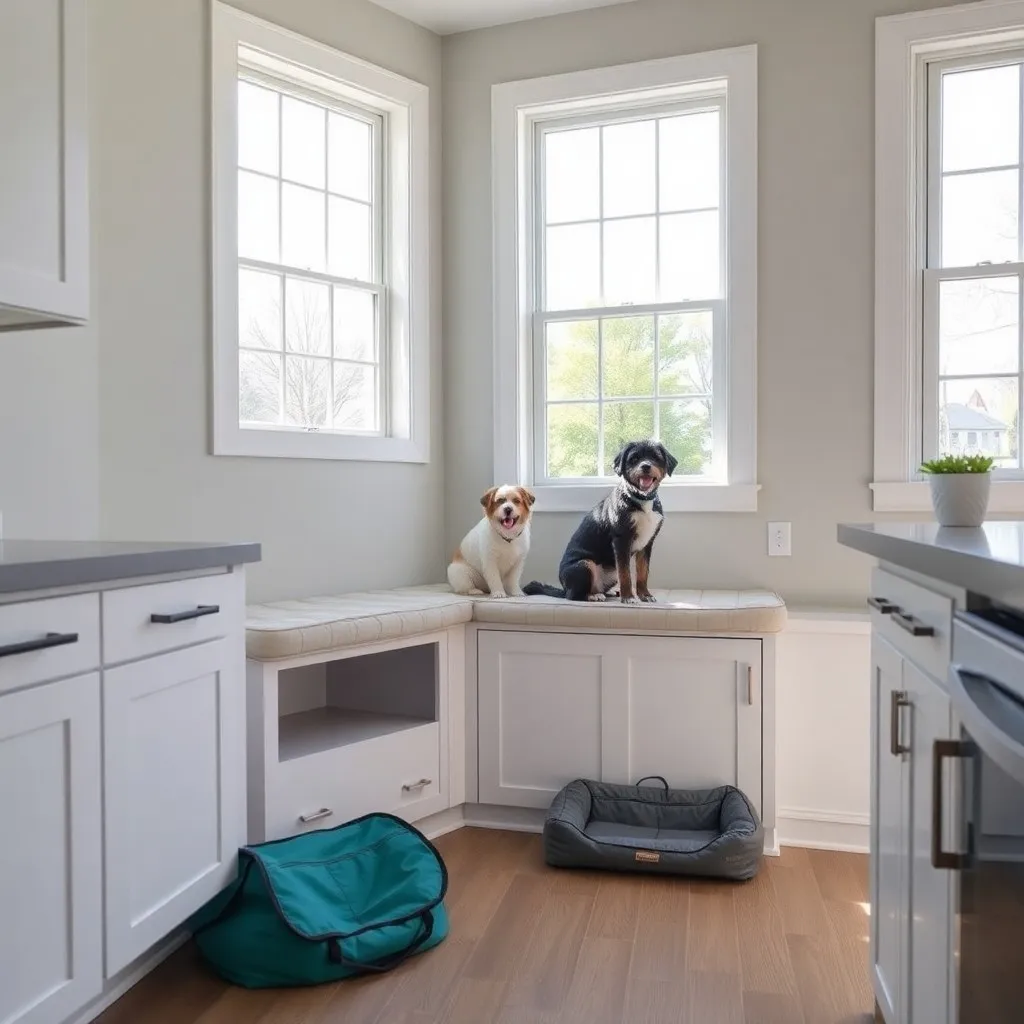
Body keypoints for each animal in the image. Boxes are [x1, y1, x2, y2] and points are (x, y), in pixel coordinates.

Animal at [524, 438, 675, 598]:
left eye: (655, 457)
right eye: (634, 458)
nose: (645, 466)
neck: (641, 499)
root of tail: (564, 589)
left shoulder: (647, 543)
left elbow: (643, 572)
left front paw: (645, 595)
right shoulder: (621, 540)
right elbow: (625, 574)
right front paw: (628, 597)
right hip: (584, 565)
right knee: (575, 595)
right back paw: (593, 596)